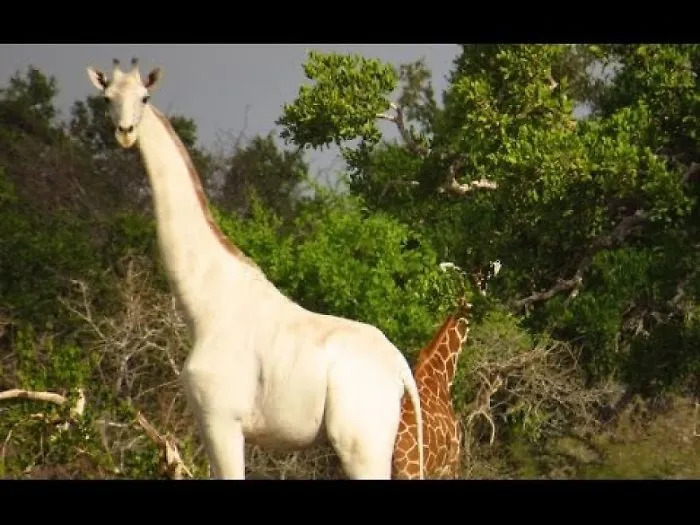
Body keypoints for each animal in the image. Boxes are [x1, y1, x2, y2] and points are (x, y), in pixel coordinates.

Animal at [85, 58, 424, 480]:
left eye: (145, 97)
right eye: (106, 98)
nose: (126, 133)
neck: (205, 304)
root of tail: (400, 370)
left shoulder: (221, 419)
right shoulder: (207, 423)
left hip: (361, 444)